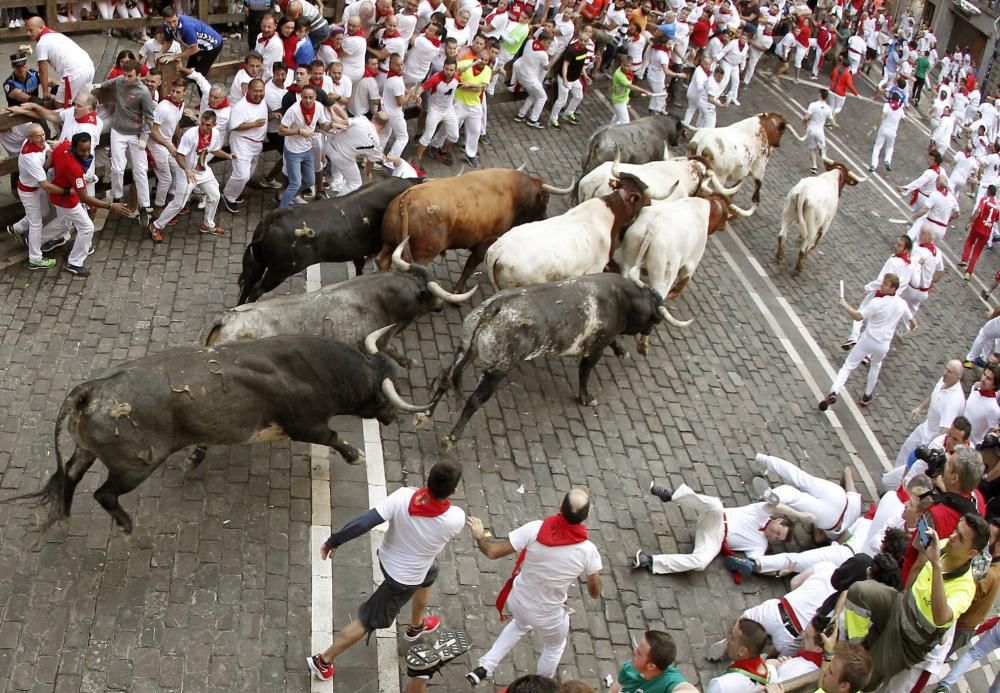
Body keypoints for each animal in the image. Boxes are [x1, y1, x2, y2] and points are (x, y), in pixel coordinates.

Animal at [9, 336, 428, 536]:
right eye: (382, 394)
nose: (392, 416)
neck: (314, 369)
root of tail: (91, 389)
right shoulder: (304, 423)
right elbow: (332, 436)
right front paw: (356, 455)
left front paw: (195, 459)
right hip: (136, 465)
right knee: (103, 492)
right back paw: (125, 526)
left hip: (87, 449)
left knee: (71, 475)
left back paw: (64, 514)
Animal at [238, 177, 418, 304]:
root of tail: (271, 221)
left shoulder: (358, 252)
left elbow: (359, 267)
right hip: (279, 271)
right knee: (256, 288)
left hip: (259, 262)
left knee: (248, 283)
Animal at [376, 169, 572, 290]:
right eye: (545, 199)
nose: (545, 218)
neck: (514, 194)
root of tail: (408, 198)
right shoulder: (485, 243)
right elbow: (469, 267)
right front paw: (458, 291)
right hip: (422, 255)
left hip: (389, 242)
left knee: (382, 261)